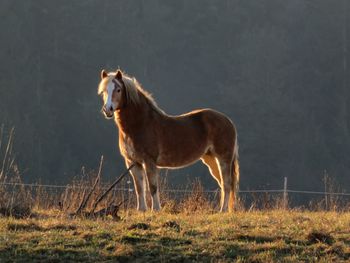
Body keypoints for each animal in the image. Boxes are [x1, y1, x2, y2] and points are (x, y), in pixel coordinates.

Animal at [98, 69, 241, 212]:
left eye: (118, 89)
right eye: (104, 91)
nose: (108, 109)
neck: (140, 124)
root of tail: (229, 121)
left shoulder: (149, 161)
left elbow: (152, 187)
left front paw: (156, 209)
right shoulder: (133, 162)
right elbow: (139, 188)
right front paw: (141, 210)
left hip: (223, 159)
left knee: (227, 184)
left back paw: (223, 210)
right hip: (211, 159)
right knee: (222, 183)